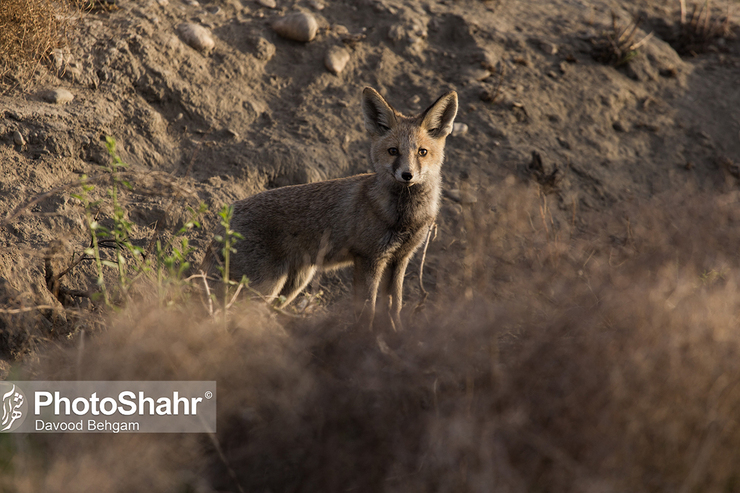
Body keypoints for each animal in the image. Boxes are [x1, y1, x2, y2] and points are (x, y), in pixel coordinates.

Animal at [202, 86, 456, 328]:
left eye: (422, 152)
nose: (407, 175)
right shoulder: (369, 258)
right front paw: (367, 337)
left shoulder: (399, 258)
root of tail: (227, 215)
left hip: (294, 282)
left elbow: (395, 307)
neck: (404, 217)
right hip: (265, 285)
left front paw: (395, 334)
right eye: (393, 151)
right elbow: (368, 308)